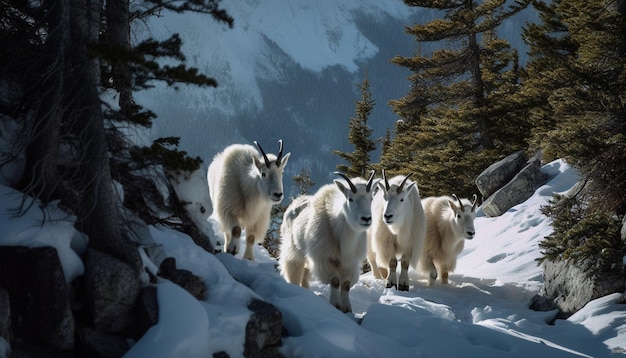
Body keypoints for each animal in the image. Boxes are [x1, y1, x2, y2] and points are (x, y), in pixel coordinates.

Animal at [280, 169, 376, 312]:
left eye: (371, 198)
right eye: (350, 199)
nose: (366, 219)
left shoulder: (351, 262)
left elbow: (346, 284)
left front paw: (347, 308)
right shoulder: (324, 258)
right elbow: (335, 281)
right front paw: (336, 305)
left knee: (305, 276)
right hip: (293, 250)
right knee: (293, 269)